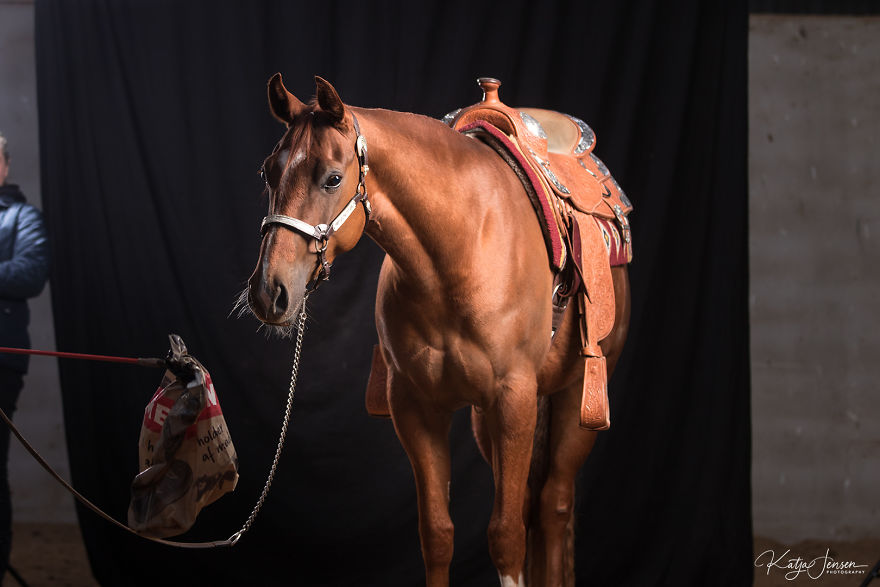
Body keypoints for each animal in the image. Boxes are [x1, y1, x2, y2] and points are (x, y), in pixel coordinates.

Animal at [247, 74, 630, 587]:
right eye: (269, 173)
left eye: (332, 178)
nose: (269, 292)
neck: (459, 248)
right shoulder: (415, 406)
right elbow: (438, 533)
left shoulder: (514, 400)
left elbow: (506, 537)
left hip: (574, 399)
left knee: (553, 505)